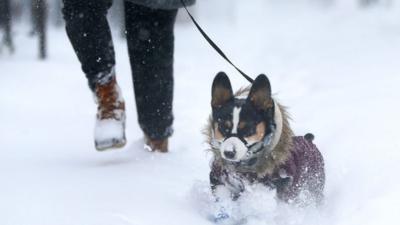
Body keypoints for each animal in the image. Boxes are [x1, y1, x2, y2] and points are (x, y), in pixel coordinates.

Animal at [206, 71, 324, 204]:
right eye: (222, 127)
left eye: (248, 128)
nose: (229, 153)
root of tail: (308, 139)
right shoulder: (218, 177)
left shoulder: (274, 184)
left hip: (314, 185)